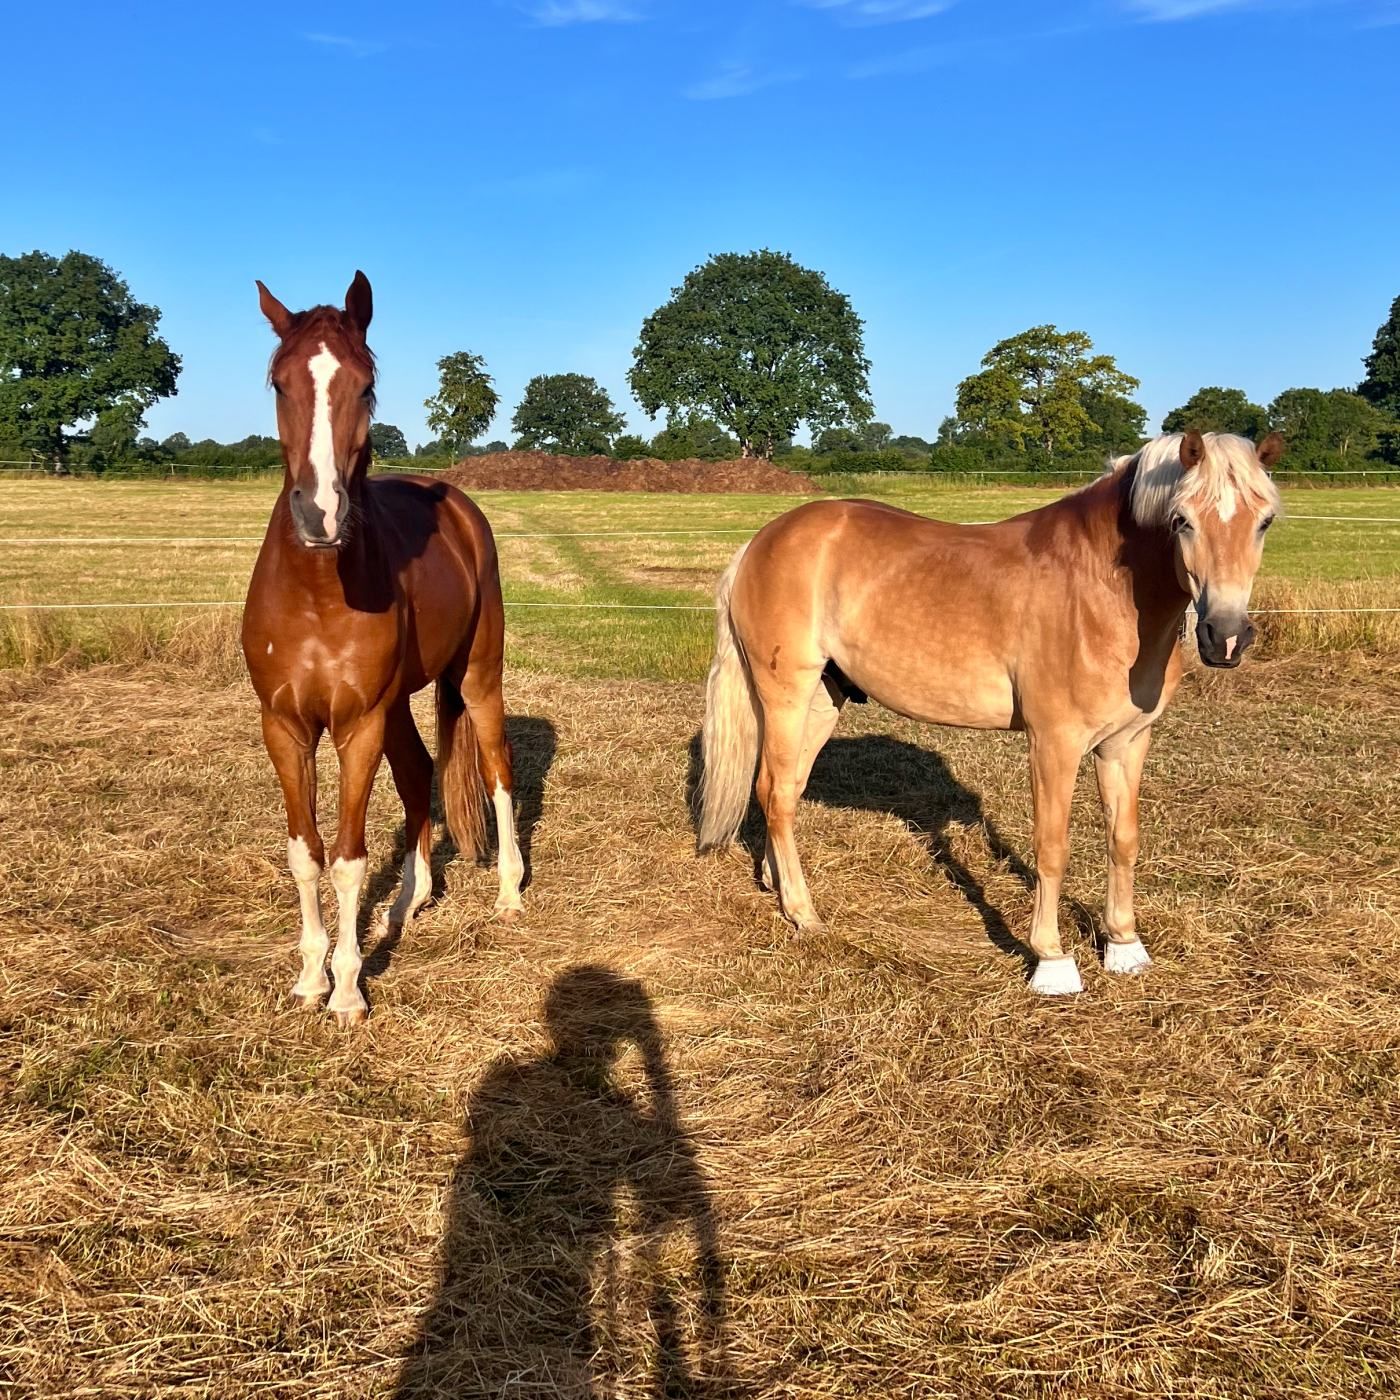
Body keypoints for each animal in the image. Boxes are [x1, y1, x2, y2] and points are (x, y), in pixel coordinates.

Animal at [241, 272, 523, 1026]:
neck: (317, 592)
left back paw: (510, 891)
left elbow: (347, 858)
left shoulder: (357, 724)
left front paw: (346, 990)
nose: (319, 514)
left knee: (497, 771)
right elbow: (306, 854)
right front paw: (309, 978)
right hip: (398, 705)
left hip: (478, 678)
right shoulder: (285, 726)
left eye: (366, 385)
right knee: (421, 773)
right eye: (279, 382)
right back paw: (407, 903)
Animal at [697, 430, 1284, 994]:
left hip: (823, 699)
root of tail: (761, 542)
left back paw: (777, 884)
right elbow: (1052, 846)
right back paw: (803, 913)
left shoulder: (1126, 742)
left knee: (784, 791)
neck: (1101, 587)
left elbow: (1123, 839)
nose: (1226, 637)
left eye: (1265, 521)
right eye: (1182, 520)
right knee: (775, 791)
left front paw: (1124, 947)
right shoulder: (1054, 742)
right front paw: (1051, 961)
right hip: (787, 694)